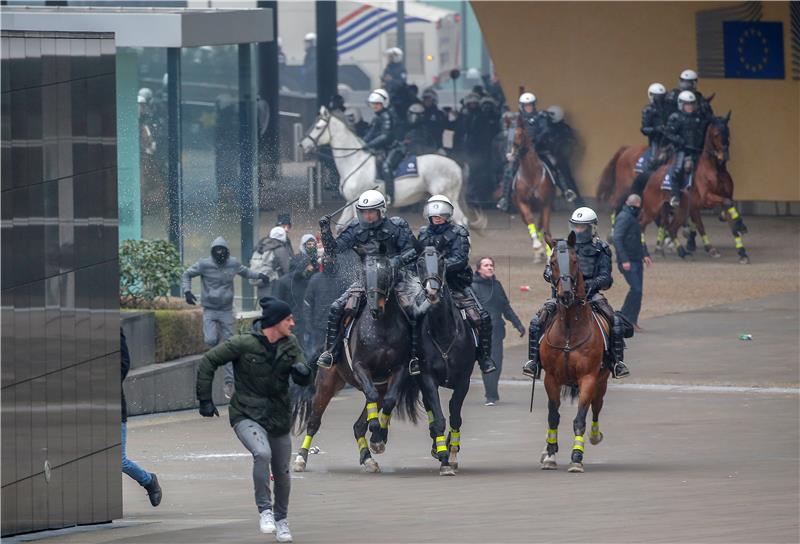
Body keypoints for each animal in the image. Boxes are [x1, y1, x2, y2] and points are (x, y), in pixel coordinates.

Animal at [292, 255, 418, 472]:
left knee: (359, 424)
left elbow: (390, 401)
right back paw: (301, 458)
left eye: (387, 275)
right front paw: (377, 433)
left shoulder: (399, 369)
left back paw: (368, 457)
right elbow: (371, 396)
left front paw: (378, 438)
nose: (376, 308)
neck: (382, 327)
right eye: (366, 275)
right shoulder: (361, 367)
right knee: (314, 421)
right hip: (327, 383)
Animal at [296, 106, 478, 230]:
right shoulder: (349, 202)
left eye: (318, 127)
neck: (355, 161)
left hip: (448, 196)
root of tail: (455, 165)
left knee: (462, 221)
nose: (302, 145)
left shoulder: (355, 203)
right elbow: (340, 226)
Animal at [412, 246, 476, 476]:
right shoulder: (427, 378)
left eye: (442, 261)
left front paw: (453, 453)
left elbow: (455, 414)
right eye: (419, 262)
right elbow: (439, 417)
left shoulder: (464, 380)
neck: (443, 332)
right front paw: (444, 458)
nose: (431, 292)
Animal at [506, 116, 556, 262]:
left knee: (541, 223)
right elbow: (530, 219)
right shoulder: (522, 202)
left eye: (519, 134)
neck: (532, 175)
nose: (511, 155)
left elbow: (545, 226)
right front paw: (537, 246)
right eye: (506, 135)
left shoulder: (546, 203)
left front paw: (548, 253)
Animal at [540, 234, 608, 472]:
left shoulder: (588, 378)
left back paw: (595, 435)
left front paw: (577, 457)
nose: (566, 295)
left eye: (575, 261)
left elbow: (580, 419)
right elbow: (553, 416)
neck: (570, 327)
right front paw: (550, 454)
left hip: (601, 382)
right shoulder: (551, 379)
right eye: (552, 263)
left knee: (596, 407)